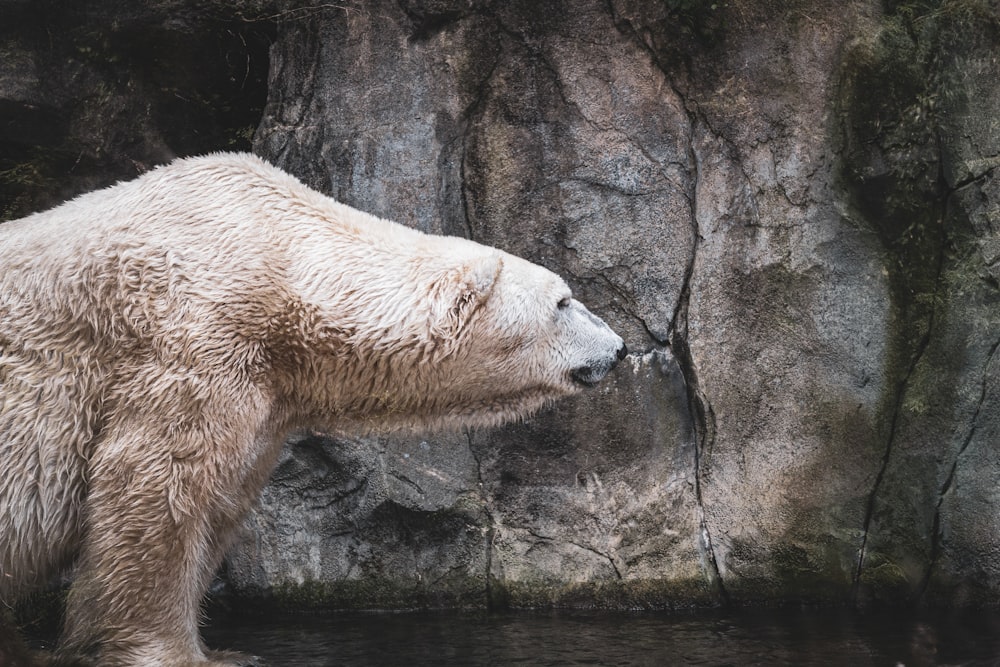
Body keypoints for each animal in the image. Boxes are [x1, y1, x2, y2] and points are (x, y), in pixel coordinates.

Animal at [0, 153, 624, 667]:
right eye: (563, 301)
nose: (618, 349)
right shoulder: (189, 341)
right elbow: (154, 484)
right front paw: (184, 655)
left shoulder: (264, 397)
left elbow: (220, 496)